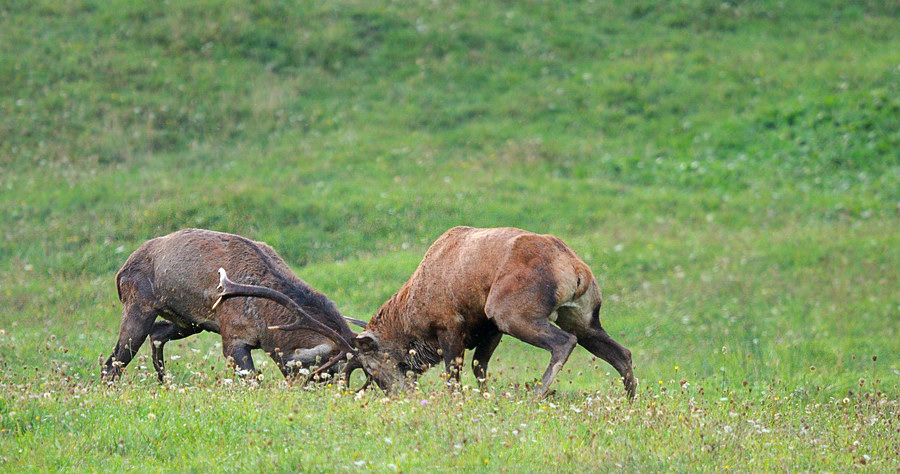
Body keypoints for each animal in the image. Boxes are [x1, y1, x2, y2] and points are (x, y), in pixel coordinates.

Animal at [102, 229, 362, 382]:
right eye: (326, 370)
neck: (266, 322)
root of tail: (120, 272)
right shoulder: (234, 336)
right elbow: (252, 379)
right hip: (138, 306)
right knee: (112, 362)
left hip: (189, 322)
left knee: (157, 334)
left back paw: (166, 382)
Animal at [274, 228, 632, 398]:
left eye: (371, 369)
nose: (397, 394)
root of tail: (576, 270)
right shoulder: (489, 329)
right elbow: (480, 368)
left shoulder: (450, 326)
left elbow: (454, 374)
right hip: (584, 316)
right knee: (621, 352)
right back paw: (629, 399)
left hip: (510, 310)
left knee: (564, 342)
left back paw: (537, 393)